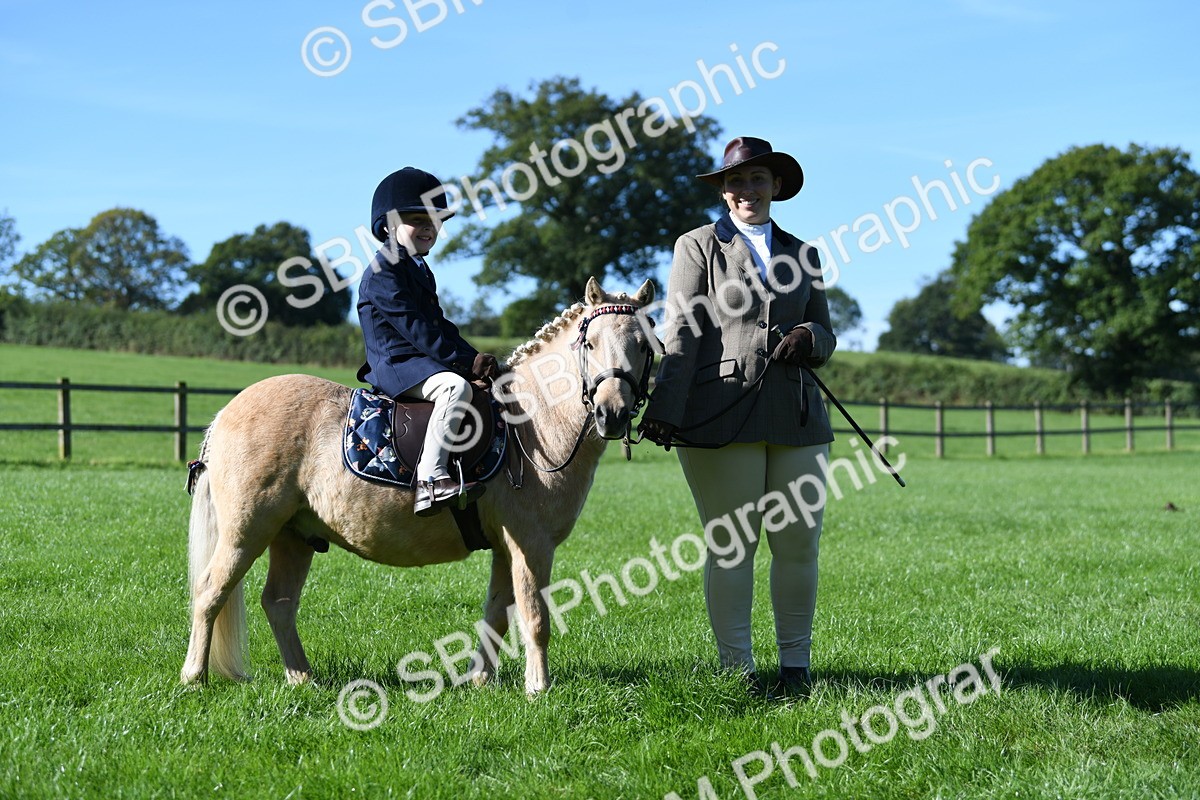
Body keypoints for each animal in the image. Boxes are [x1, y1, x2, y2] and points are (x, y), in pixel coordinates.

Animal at [180, 277, 656, 696]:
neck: (531, 421)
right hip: (246, 532)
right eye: (589, 344)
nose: (612, 413)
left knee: (278, 604)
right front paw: (538, 688)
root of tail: (226, 413)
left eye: (644, 345)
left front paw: (480, 681)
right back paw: (194, 678)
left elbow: (497, 616)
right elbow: (535, 617)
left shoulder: (506, 548)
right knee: (209, 593)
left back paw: (303, 679)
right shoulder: (531, 544)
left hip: (293, 536)